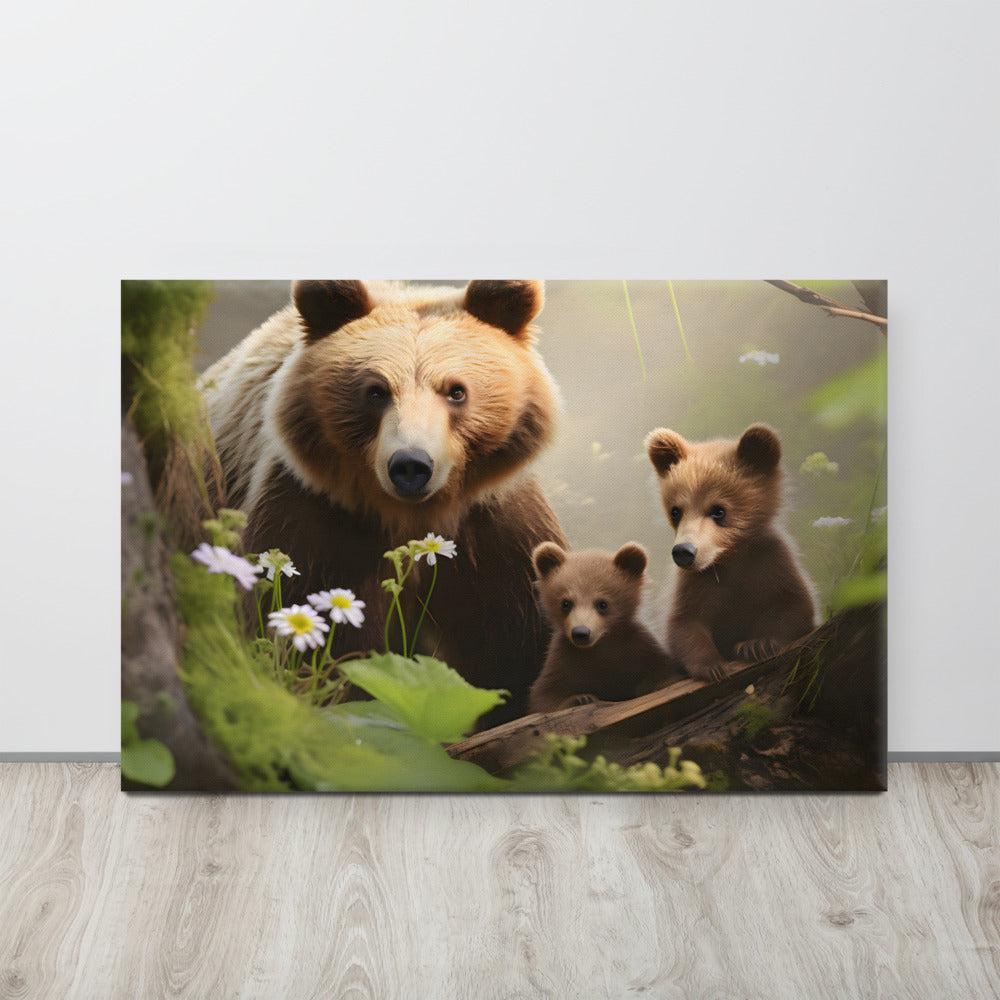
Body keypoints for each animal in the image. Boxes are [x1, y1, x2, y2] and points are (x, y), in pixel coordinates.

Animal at [201, 279, 567, 724]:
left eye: (456, 391)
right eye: (376, 391)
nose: (411, 464)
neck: (411, 518)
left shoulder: (493, 530)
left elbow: (515, 642)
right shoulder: (315, 519)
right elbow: (301, 625)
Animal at [527, 541, 684, 713]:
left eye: (602, 604)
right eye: (566, 603)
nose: (581, 633)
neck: (602, 645)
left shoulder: (640, 648)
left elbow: (665, 673)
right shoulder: (564, 659)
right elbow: (544, 695)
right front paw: (580, 698)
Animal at [645, 423, 819, 682]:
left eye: (718, 510)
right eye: (676, 511)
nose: (684, 552)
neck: (730, 557)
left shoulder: (772, 563)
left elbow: (794, 606)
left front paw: (757, 644)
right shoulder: (696, 584)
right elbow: (684, 623)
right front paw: (713, 666)